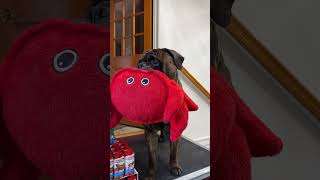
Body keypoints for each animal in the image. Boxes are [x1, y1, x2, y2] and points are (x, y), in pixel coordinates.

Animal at [136, 48, 185, 179]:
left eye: (154, 62)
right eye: (139, 63)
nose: (140, 66)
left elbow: (173, 152)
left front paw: (174, 166)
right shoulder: (150, 132)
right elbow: (151, 157)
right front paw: (151, 174)